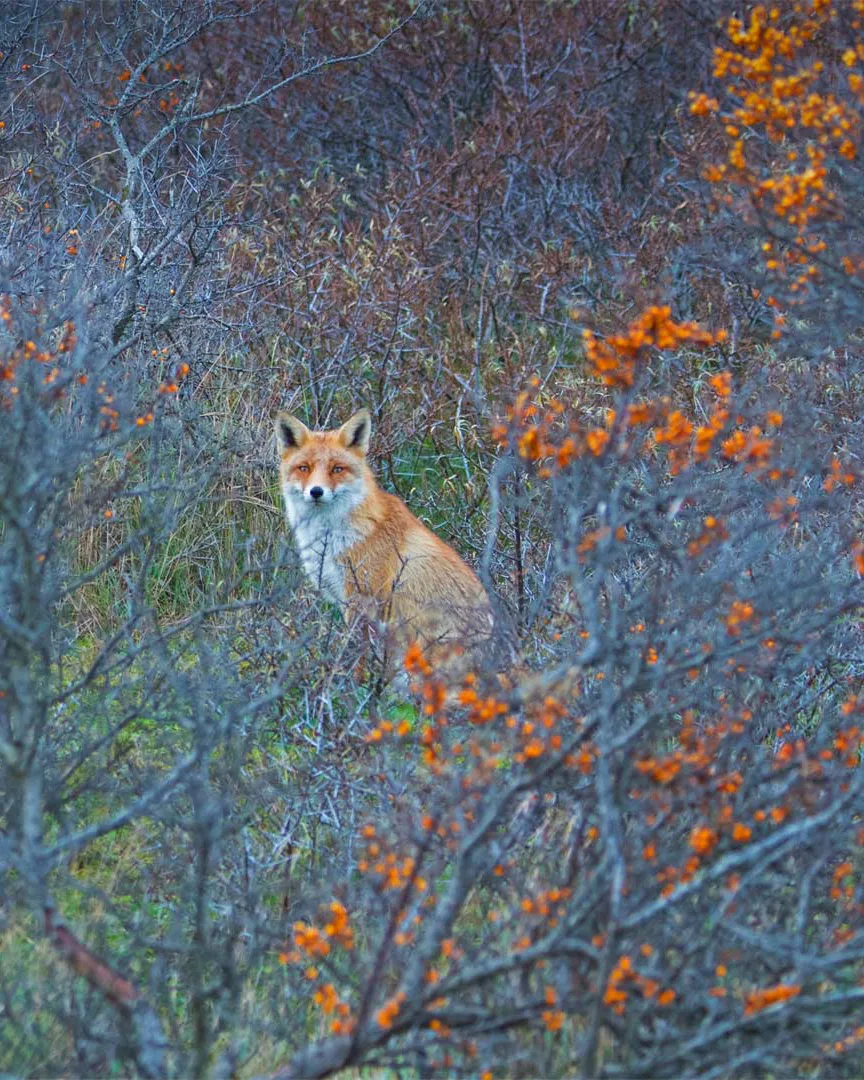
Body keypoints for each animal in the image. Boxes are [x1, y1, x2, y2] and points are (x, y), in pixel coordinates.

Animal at [276, 408, 492, 678]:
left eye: (337, 469)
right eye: (304, 468)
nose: (316, 491)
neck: (332, 535)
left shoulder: (363, 598)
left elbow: (357, 656)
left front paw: (351, 685)